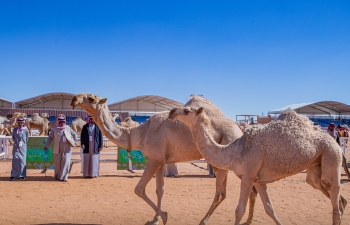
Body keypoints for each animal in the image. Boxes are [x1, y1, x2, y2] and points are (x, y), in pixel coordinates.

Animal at [69, 93, 246, 225]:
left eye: (91, 98)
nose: (74, 99)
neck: (140, 132)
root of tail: (239, 129)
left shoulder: (154, 159)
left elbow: (139, 189)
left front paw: (164, 216)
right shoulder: (160, 161)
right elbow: (159, 189)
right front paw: (155, 218)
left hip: (225, 151)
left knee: (220, 192)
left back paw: (203, 220)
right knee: (223, 193)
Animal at [170, 107, 348, 225]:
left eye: (186, 110)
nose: (172, 112)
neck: (234, 152)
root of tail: (337, 145)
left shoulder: (248, 177)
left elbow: (239, 210)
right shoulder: (258, 180)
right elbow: (270, 209)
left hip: (331, 156)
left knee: (334, 198)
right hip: (316, 166)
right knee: (331, 194)